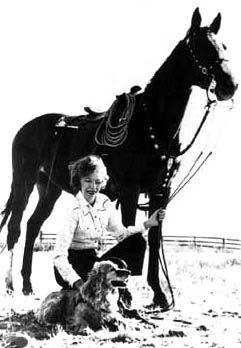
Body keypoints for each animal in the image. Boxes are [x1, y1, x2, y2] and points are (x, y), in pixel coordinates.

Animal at [0, 7, 237, 308]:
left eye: (224, 45)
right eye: (201, 46)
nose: (230, 85)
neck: (150, 123)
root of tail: (26, 128)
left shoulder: (161, 192)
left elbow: (153, 238)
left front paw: (159, 294)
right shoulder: (129, 190)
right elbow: (130, 231)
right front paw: (126, 296)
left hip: (50, 188)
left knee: (32, 226)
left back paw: (28, 285)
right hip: (24, 181)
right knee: (15, 228)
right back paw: (11, 286)